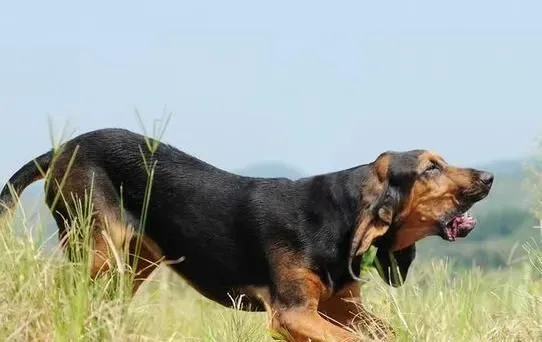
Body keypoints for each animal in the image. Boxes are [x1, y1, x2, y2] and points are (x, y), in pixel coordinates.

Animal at [0, 129, 496, 342]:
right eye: (430, 168)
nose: (489, 177)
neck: (341, 216)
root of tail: (60, 148)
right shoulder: (293, 315)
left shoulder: (339, 308)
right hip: (98, 251)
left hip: (134, 263)